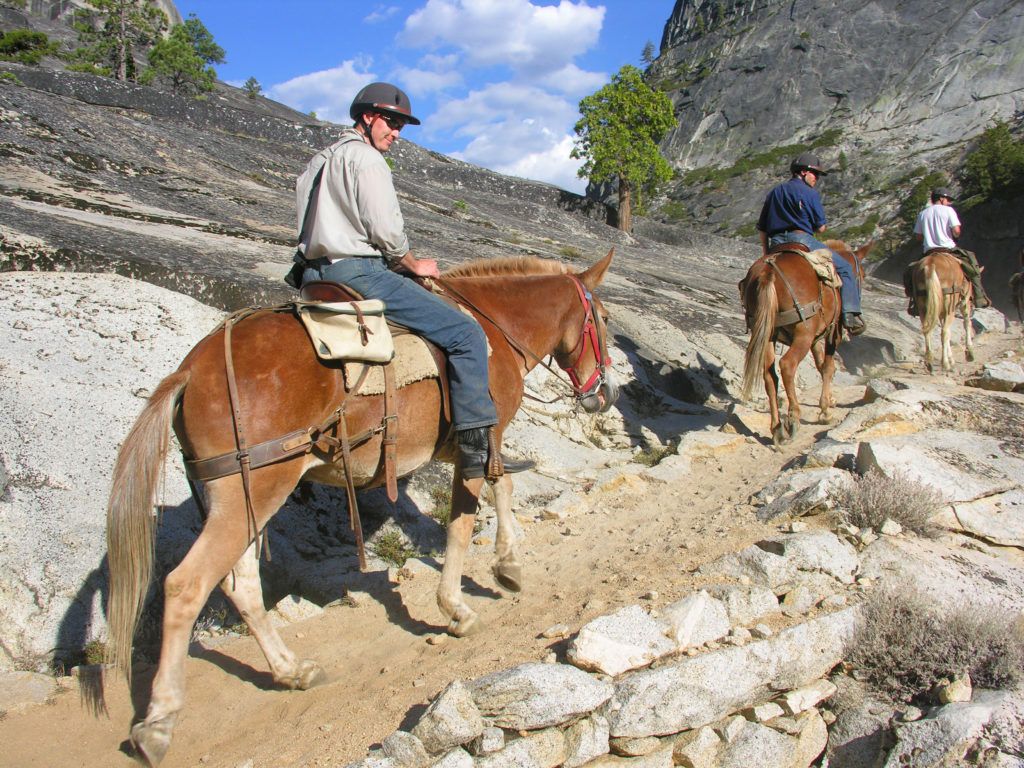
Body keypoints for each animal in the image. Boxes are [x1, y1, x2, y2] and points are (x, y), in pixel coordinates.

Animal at [105, 250, 614, 765]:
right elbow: (466, 520)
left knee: (241, 586)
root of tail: (192, 368)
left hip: (242, 497)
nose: (605, 394)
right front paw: (463, 601)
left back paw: (291, 670)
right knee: (186, 585)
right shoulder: (478, 444)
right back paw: (158, 724)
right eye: (606, 320)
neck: (494, 325)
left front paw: (504, 567)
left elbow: (501, 488)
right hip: (258, 489)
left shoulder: (471, 450)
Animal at [741, 239, 868, 444]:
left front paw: (830, 400)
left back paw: (777, 428)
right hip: (803, 333)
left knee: (769, 376)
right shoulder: (833, 334)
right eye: (862, 275)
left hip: (768, 334)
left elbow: (820, 365)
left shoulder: (816, 339)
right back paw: (793, 419)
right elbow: (828, 367)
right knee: (787, 365)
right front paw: (825, 411)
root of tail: (768, 271)